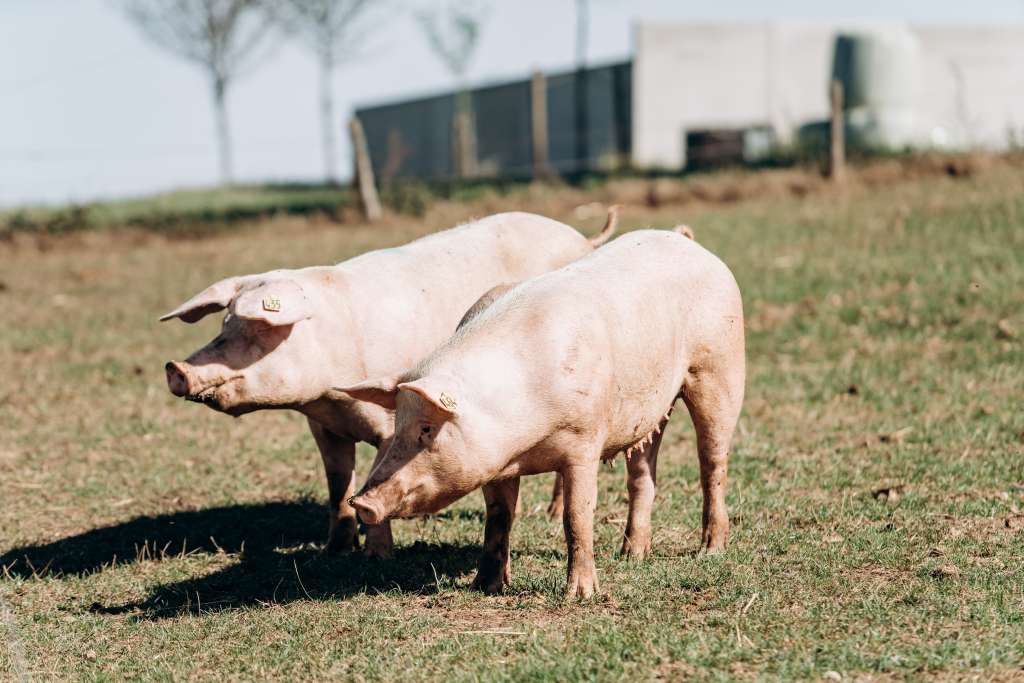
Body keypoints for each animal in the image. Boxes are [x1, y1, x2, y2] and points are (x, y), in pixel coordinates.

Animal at [159, 210, 614, 557]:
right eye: (224, 323)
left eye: (257, 329)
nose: (176, 368)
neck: (329, 394)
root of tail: (581, 237)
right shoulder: (323, 427)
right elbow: (337, 484)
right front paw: (336, 550)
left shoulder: (387, 421)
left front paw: (378, 555)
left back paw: (552, 512)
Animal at [335, 225, 745, 598]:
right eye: (399, 422)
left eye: (426, 428)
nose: (362, 502)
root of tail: (685, 240)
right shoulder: (495, 462)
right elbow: (499, 517)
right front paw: (485, 587)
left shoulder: (584, 440)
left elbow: (576, 516)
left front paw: (579, 595)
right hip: (650, 409)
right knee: (643, 473)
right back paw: (632, 555)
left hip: (719, 367)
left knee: (712, 460)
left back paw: (710, 550)